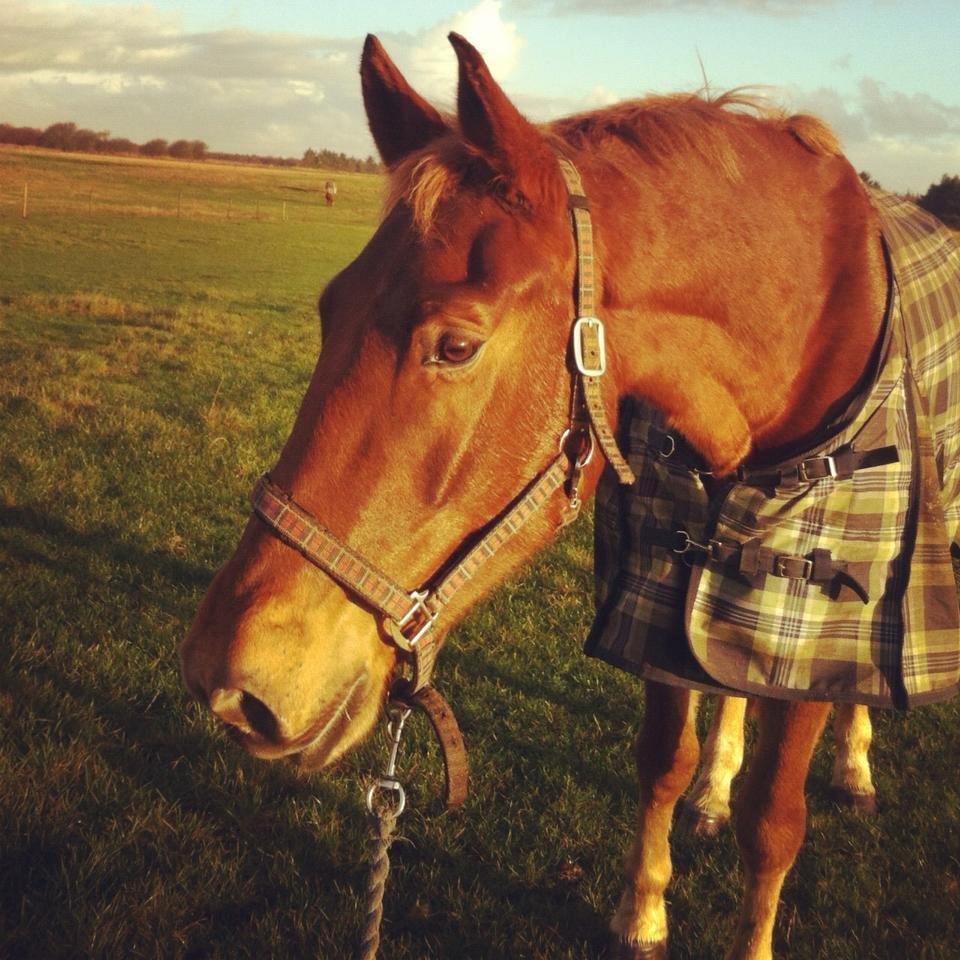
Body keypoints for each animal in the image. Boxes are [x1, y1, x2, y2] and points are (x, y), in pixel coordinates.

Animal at [182, 31, 960, 960]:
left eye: (455, 345)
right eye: (330, 309)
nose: (227, 677)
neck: (805, 322)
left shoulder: (808, 634)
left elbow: (773, 824)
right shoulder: (663, 594)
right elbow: (662, 761)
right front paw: (645, 909)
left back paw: (855, 765)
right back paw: (717, 783)